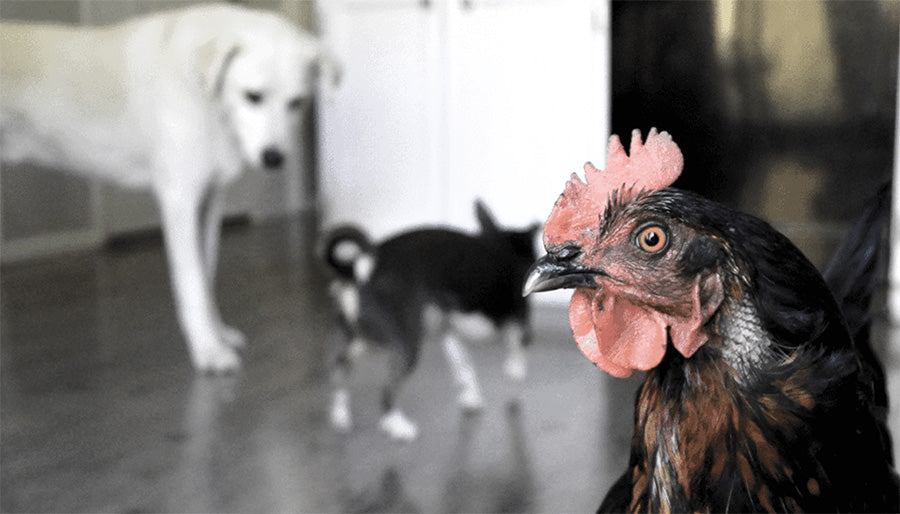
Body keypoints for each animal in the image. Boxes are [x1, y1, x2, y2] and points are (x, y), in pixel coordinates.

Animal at [0, 4, 328, 372]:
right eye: (252, 96)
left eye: (297, 102)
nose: (274, 158)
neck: (208, 95)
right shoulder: (180, 200)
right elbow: (191, 281)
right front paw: (208, 349)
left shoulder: (209, 202)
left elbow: (205, 272)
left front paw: (215, 333)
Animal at [322, 201, 536, 440]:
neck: (502, 245)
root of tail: (355, 271)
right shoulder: (521, 326)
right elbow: (516, 358)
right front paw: (514, 380)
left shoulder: (448, 332)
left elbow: (463, 366)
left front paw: (471, 397)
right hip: (405, 346)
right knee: (387, 391)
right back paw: (397, 426)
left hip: (364, 340)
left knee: (339, 369)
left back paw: (340, 415)